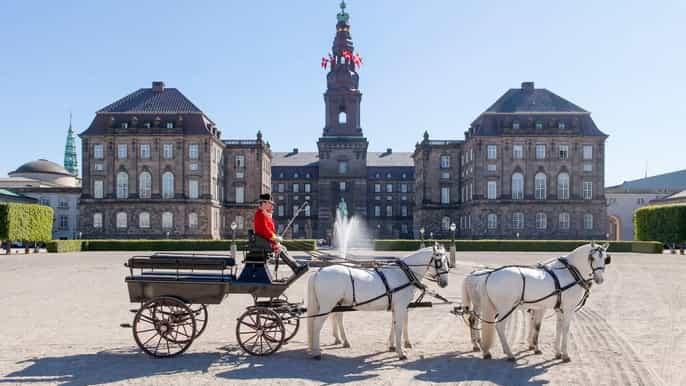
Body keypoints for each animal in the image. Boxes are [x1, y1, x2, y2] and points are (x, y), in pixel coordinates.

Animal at [308, 244, 452, 358]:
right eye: (439, 261)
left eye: (447, 261)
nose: (445, 283)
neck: (403, 274)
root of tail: (319, 271)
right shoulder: (401, 307)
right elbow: (399, 326)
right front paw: (401, 352)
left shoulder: (397, 307)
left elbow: (396, 324)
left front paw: (393, 346)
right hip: (327, 305)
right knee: (316, 324)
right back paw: (317, 352)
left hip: (339, 303)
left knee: (336, 318)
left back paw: (342, 341)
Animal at [472, 243, 612, 360]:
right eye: (592, 258)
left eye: (605, 259)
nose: (599, 279)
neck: (570, 272)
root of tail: (490, 274)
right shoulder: (568, 309)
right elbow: (565, 329)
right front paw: (565, 354)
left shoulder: (559, 309)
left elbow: (558, 328)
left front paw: (557, 352)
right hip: (506, 308)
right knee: (499, 326)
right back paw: (509, 353)